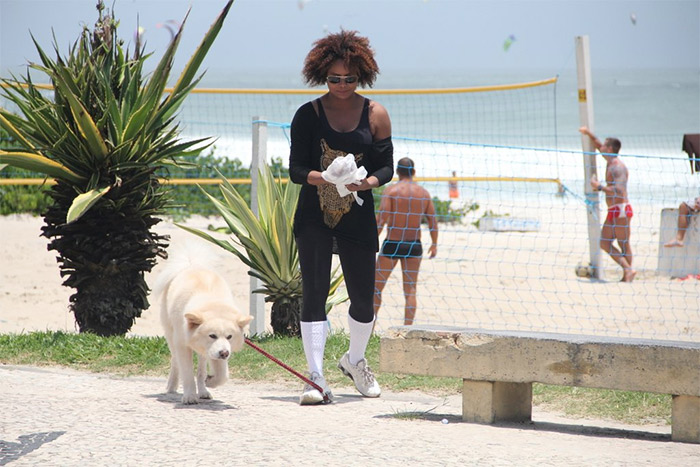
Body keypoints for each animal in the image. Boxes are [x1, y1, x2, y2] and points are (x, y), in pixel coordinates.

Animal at [152, 243, 253, 404]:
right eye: (212, 335)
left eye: (229, 337)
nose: (224, 353)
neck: (213, 304)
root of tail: (191, 265)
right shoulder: (183, 345)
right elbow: (187, 372)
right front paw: (189, 396)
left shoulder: (216, 350)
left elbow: (222, 375)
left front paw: (210, 381)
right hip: (171, 335)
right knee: (175, 361)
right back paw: (172, 386)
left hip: (203, 352)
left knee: (200, 370)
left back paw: (204, 390)